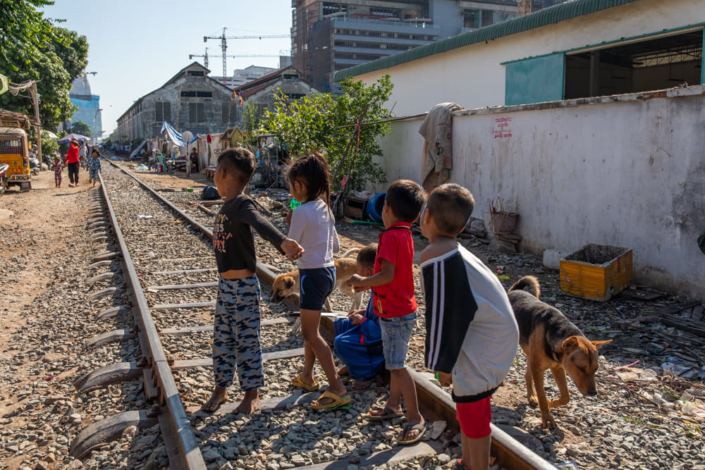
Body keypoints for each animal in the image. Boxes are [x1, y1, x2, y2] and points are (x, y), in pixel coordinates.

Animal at [506, 276, 612, 430]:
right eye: (581, 368)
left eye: (596, 369)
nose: (593, 393)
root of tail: (514, 290)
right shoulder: (539, 370)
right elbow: (542, 396)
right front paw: (547, 418)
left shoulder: (558, 367)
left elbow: (566, 396)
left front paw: (552, 403)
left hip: (530, 356)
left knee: (527, 375)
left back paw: (531, 397)